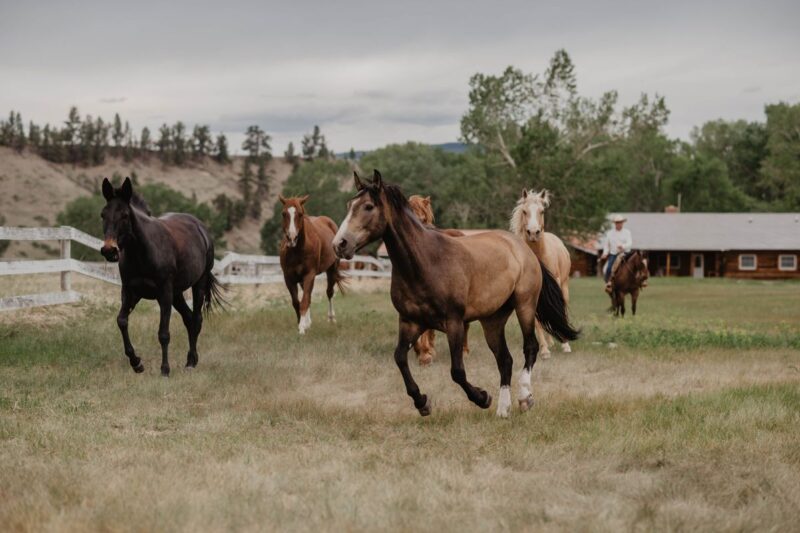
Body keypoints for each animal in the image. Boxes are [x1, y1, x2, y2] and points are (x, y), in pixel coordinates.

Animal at [101, 177, 225, 376]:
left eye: (125, 215)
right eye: (103, 215)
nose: (109, 250)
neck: (142, 252)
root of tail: (200, 227)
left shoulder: (164, 293)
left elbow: (164, 333)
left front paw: (165, 370)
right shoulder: (130, 292)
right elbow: (121, 321)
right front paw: (136, 363)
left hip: (198, 283)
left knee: (196, 319)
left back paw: (191, 361)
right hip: (177, 293)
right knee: (188, 318)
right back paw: (190, 360)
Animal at [280, 193, 346, 334]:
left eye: (300, 214)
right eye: (284, 213)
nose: (291, 238)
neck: (297, 250)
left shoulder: (309, 275)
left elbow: (305, 300)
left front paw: (301, 328)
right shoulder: (288, 277)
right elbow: (297, 302)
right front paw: (302, 323)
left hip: (332, 269)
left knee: (329, 292)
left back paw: (331, 319)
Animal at [512, 188, 576, 358]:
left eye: (541, 211)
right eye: (524, 211)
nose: (533, 232)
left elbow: (559, 310)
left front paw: (565, 344)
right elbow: (537, 320)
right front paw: (544, 349)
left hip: (564, 285)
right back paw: (550, 342)